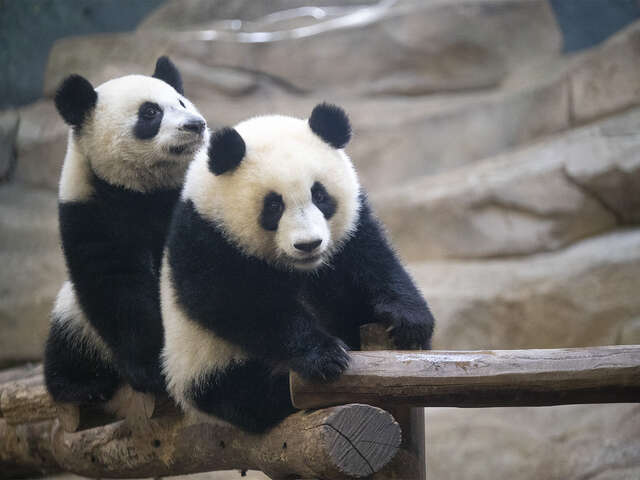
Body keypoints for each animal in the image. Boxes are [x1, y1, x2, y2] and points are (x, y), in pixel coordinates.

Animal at [44, 56, 208, 404]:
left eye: (181, 101)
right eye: (150, 112)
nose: (195, 125)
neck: (145, 189)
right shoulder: (92, 212)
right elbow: (117, 286)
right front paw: (151, 370)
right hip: (76, 321)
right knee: (67, 344)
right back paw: (81, 385)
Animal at [160, 103, 436, 434]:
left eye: (320, 195)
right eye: (273, 206)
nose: (309, 244)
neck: (299, 269)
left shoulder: (351, 229)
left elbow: (374, 260)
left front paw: (410, 322)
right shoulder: (206, 237)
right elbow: (239, 303)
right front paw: (325, 357)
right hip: (206, 365)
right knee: (246, 393)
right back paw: (281, 391)